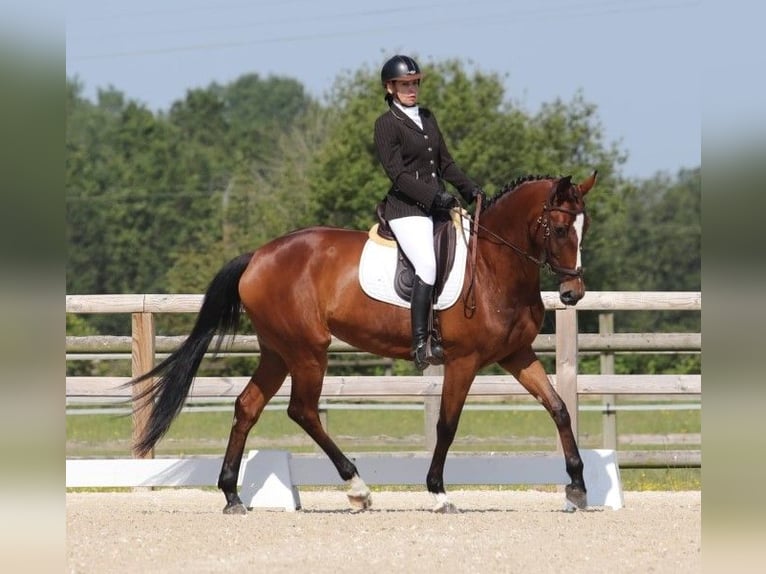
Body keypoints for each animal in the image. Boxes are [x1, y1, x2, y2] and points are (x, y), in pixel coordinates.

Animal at [130, 172, 600, 516]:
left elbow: (558, 408)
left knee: (247, 406)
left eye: (584, 227)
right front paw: (438, 493)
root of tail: (258, 256)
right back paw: (358, 489)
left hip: (278, 352)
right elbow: (447, 426)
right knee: (303, 410)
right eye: (560, 228)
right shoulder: (463, 361)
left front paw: (577, 487)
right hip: (308, 350)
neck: (493, 266)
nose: (573, 294)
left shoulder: (517, 355)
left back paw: (232, 496)